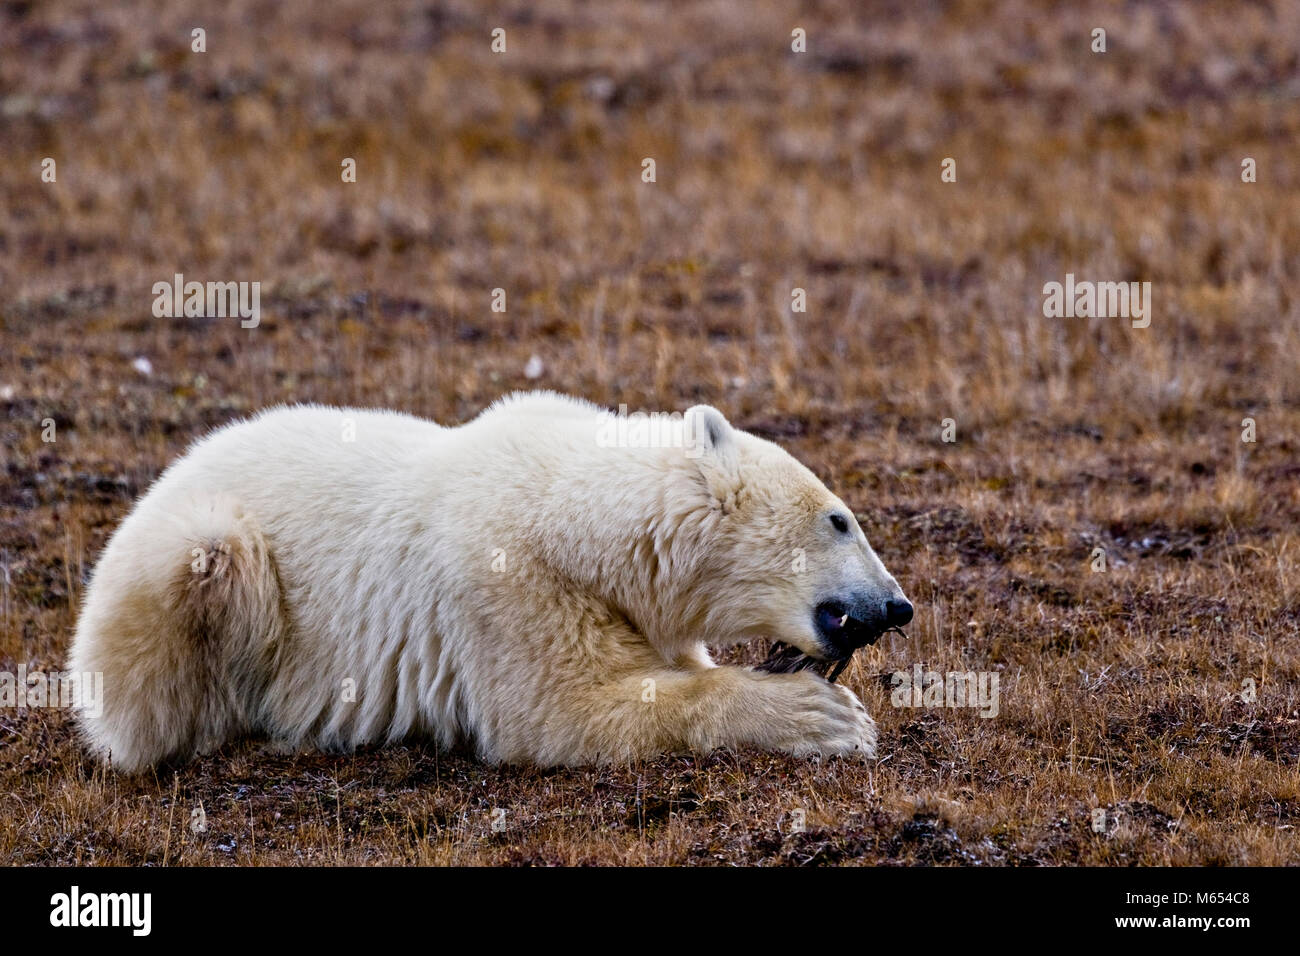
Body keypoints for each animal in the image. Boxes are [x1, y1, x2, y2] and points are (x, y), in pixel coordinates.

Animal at [65, 392, 909, 775]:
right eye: (840, 519)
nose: (897, 603)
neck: (571, 516)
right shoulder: (510, 588)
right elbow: (558, 715)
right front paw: (825, 716)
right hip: (188, 565)